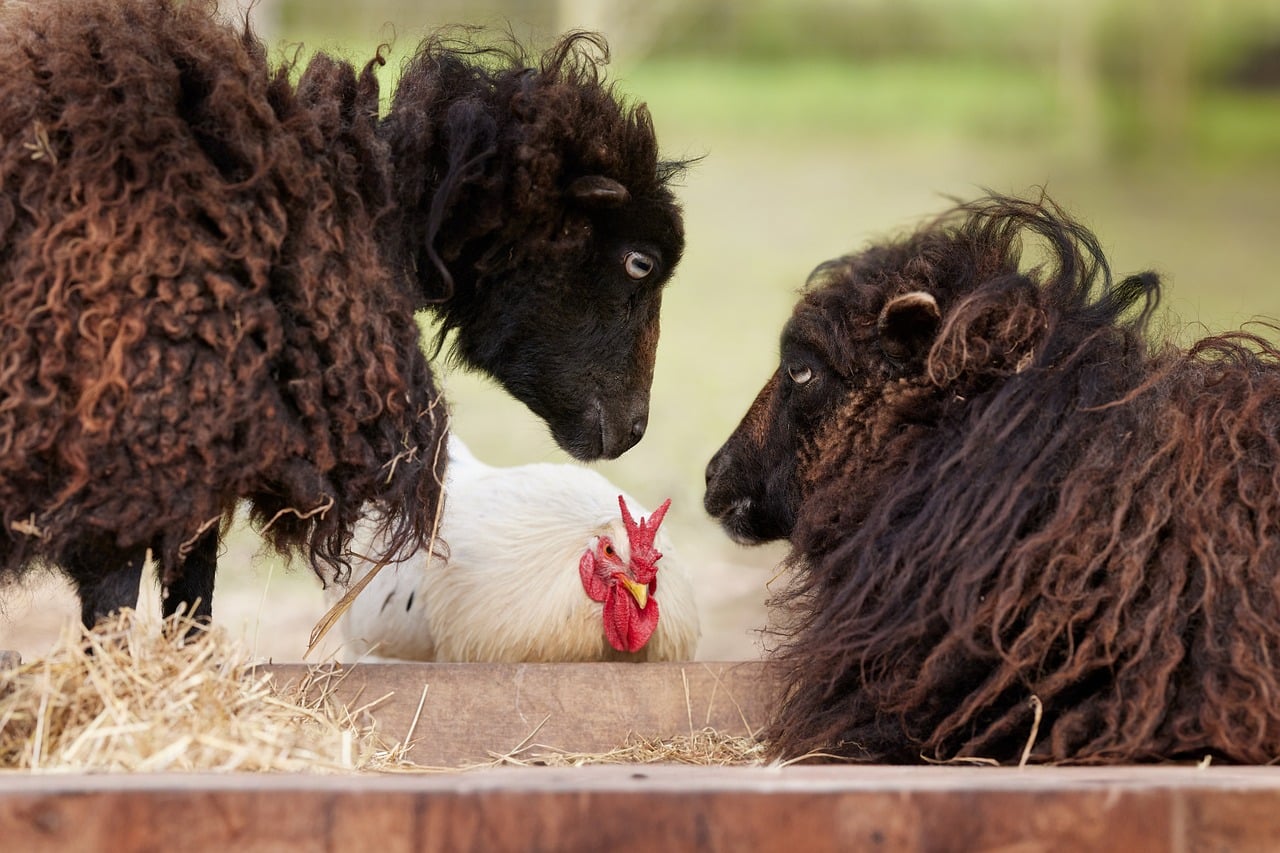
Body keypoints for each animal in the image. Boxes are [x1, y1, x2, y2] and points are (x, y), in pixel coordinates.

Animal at [0, 0, 686, 629]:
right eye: (640, 262)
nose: (635, 429)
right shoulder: (123, 458)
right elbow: (113, 616)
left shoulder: (206, 454)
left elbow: (191, 606)